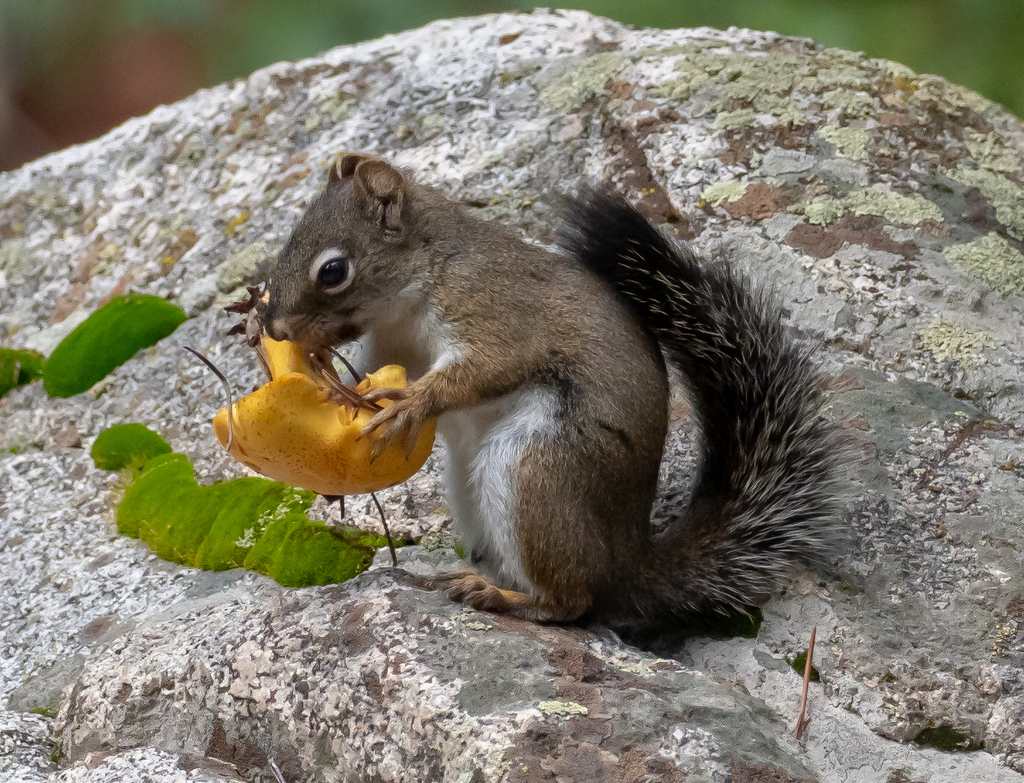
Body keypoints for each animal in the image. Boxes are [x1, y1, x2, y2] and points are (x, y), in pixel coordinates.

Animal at [260, 152, 839, 639]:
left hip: (535, 467)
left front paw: (411, 404)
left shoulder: (494, 312)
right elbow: (368, 373)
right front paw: (329, 396)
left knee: (573, 602)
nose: (273, 327)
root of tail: (626, 565)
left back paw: (501, 597)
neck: (421, 279)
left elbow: (484, 370)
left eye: (333, 271)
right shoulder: (389, 344)